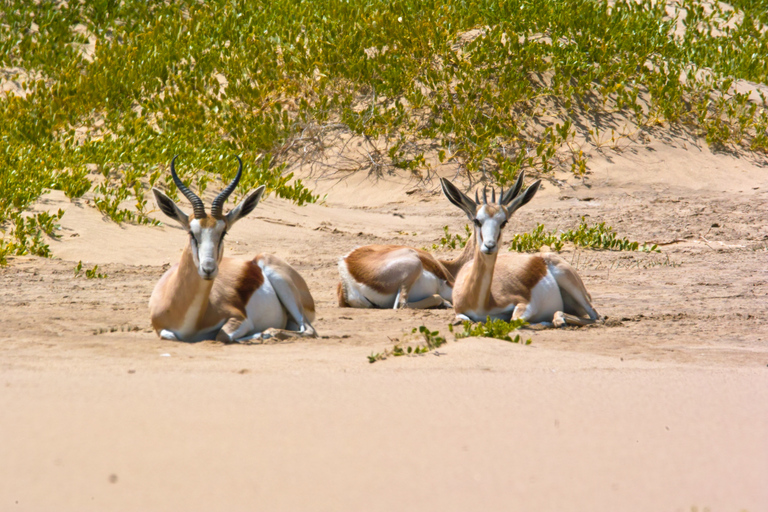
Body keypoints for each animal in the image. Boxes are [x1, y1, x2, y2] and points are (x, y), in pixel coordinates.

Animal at [148, 154, 316, 342]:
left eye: (223, 233)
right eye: (191, 232)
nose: (208, 269)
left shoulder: (240, 318)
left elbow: (221, 336)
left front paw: (261, 334)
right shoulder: (162, 329)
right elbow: (171, 335)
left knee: (309, 330)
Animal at [444, 173, 600, 328]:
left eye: (504, 222)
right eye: (477, 221)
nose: (489, 245)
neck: (480, 302)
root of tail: (540, 257)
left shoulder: (526, 304)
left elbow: (514, 320)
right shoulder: (459, 312)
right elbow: (463, 319)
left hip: (570, 283)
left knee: (596, 317)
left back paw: (557, 320)